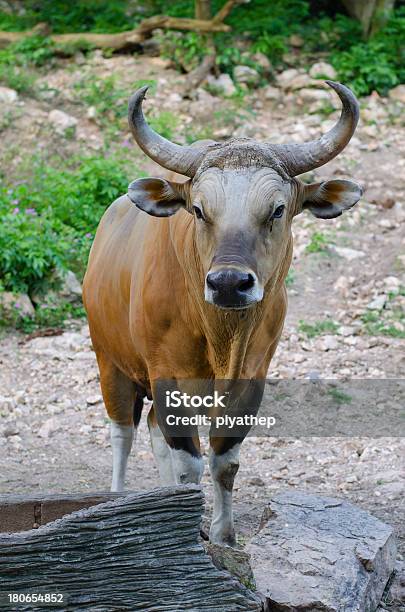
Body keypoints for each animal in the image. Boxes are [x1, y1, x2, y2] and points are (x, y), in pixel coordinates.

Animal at [83, 81, 362, 544]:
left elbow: (223, 460)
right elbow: (188, 463)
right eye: (198, 210)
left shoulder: (252, 378)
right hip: (111, 361)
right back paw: (116, 497)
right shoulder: (165, 376)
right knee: (122, 431)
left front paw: (222, 534)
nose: (229, 283)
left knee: (154, 432)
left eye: (277, 209)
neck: (221, 336)